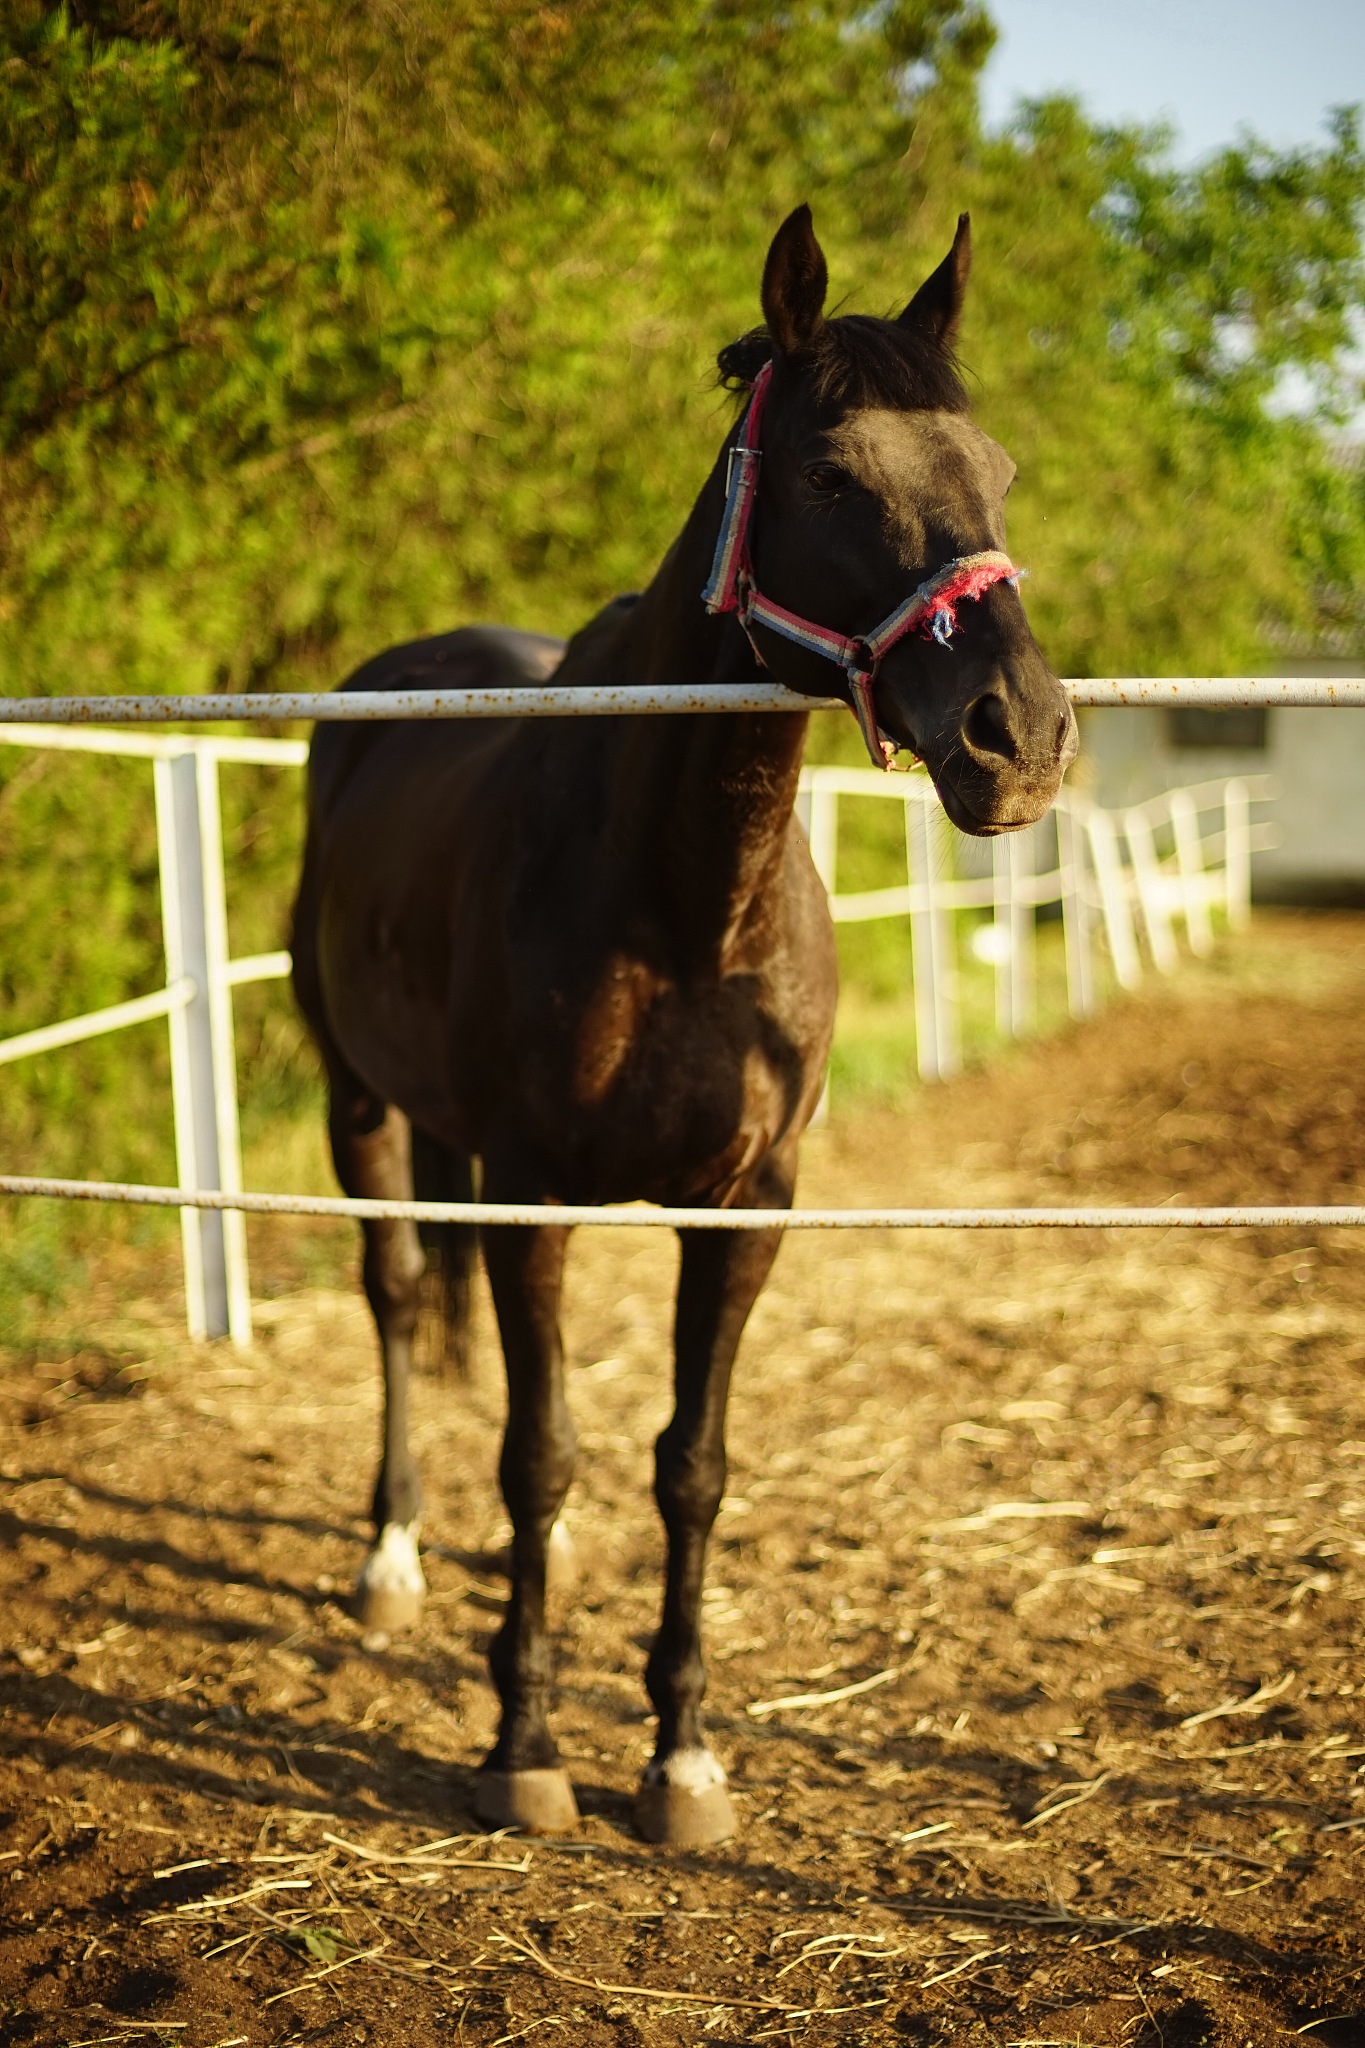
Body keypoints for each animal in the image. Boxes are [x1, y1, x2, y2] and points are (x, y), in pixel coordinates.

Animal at [290, 204, 1077, 1846]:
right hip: (359, 1102)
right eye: (834, 478)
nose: (1021, 737)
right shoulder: (532, 1196)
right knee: (394, 1294)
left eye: (994, 470)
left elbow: (689, 1465)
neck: (680, 900)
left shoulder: (749, 1207)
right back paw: (392, 1555)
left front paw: (683, 1756)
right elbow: (539, 1450)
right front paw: (525, 1746)